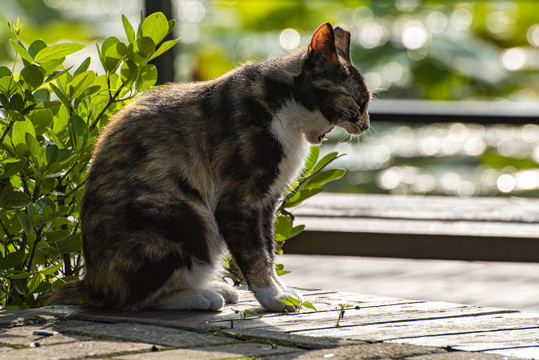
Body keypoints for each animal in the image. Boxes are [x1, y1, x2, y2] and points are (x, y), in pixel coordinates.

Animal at [48, 22, 372, 312]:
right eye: (359, 101)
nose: (366, 125)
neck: (281, 108)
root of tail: (90, 283)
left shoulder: (267, 203)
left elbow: (268, 249)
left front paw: (280, 290)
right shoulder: (239, 200)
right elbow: (255, 254)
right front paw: (273, 297)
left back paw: (215, 288)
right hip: (182, 215)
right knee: (130, 300)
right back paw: (202, 296)